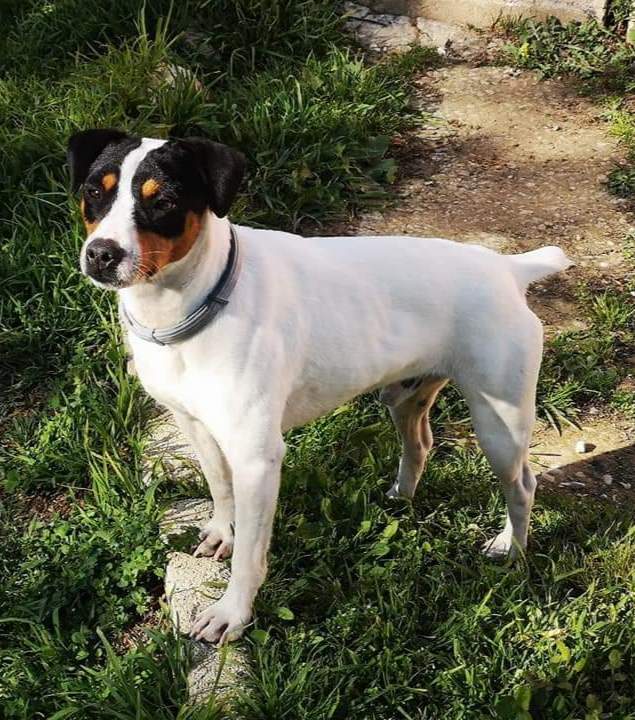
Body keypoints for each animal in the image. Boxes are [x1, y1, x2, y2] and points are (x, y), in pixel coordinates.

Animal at [68, 128, 572, 640]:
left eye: (164, 201)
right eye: (94, 191)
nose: (102, 254)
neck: (196, 303)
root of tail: (509, 269)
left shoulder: (257, 459)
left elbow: (250, 555)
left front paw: (232, 613)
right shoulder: (195, 426)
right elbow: (219, 487)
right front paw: (222, 531)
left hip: (500, 424)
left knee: (523, 485)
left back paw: (510, 548)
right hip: (404, 397)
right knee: (421, 444)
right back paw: (401, 497)